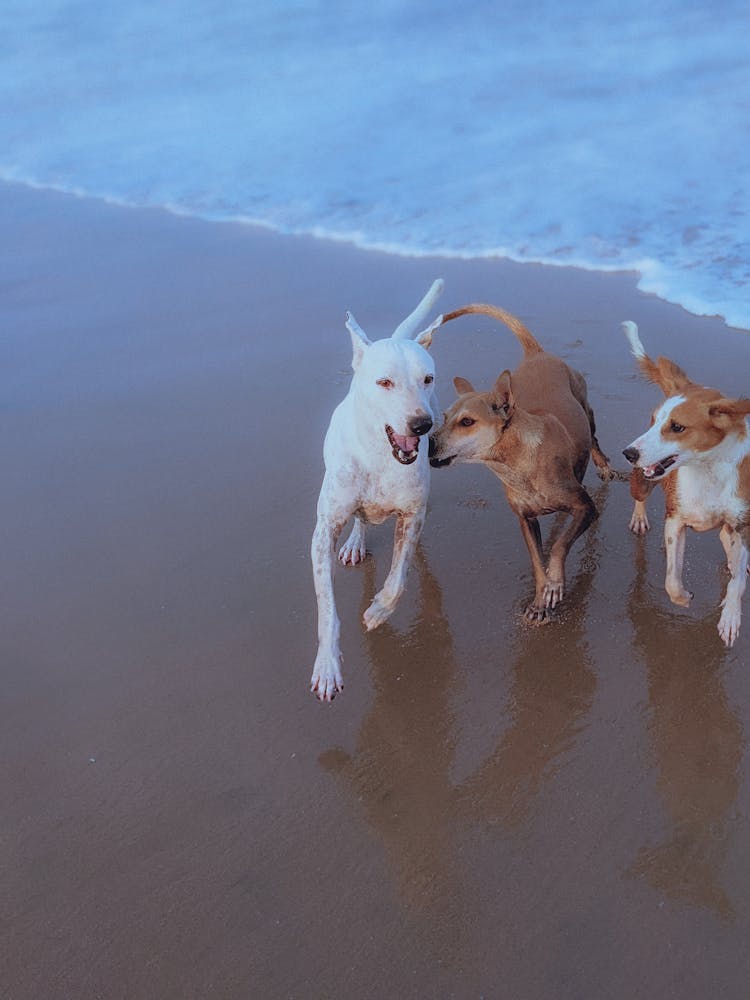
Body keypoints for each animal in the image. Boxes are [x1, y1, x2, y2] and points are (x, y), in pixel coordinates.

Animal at [312, 280, 446, 704]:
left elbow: (399, 579)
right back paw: (356, 542)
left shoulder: (411, 515)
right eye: (384, 382)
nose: (421, 425)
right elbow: (326, 607)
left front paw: (378, 613)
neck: (380, 457)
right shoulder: (322, 532)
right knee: (360, 519)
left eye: (427, 379)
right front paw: (328, 667)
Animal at [428, 300, 612, 620]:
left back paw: (602, 465)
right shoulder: (526, 520)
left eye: (467, 422)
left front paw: (555, 584)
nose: (427, 442)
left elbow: (559, 546)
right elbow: (537, 562)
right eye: (445, 417)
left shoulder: (585, 508)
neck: (517, 465)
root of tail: (537, 353)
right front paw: (540, 600)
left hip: (586, 407)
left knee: (594, 438)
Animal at [624, 320, 750, 648]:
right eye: (655, 420)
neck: (707, 470)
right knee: (639, 496)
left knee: (726, 543)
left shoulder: (741, 524)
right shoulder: (675, 520)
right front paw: (683, 598)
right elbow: (671, 580)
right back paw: (639, 517)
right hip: (640, 480)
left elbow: (737, 582)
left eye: (677, 427)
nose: (629, 453)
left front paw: (730, 616)